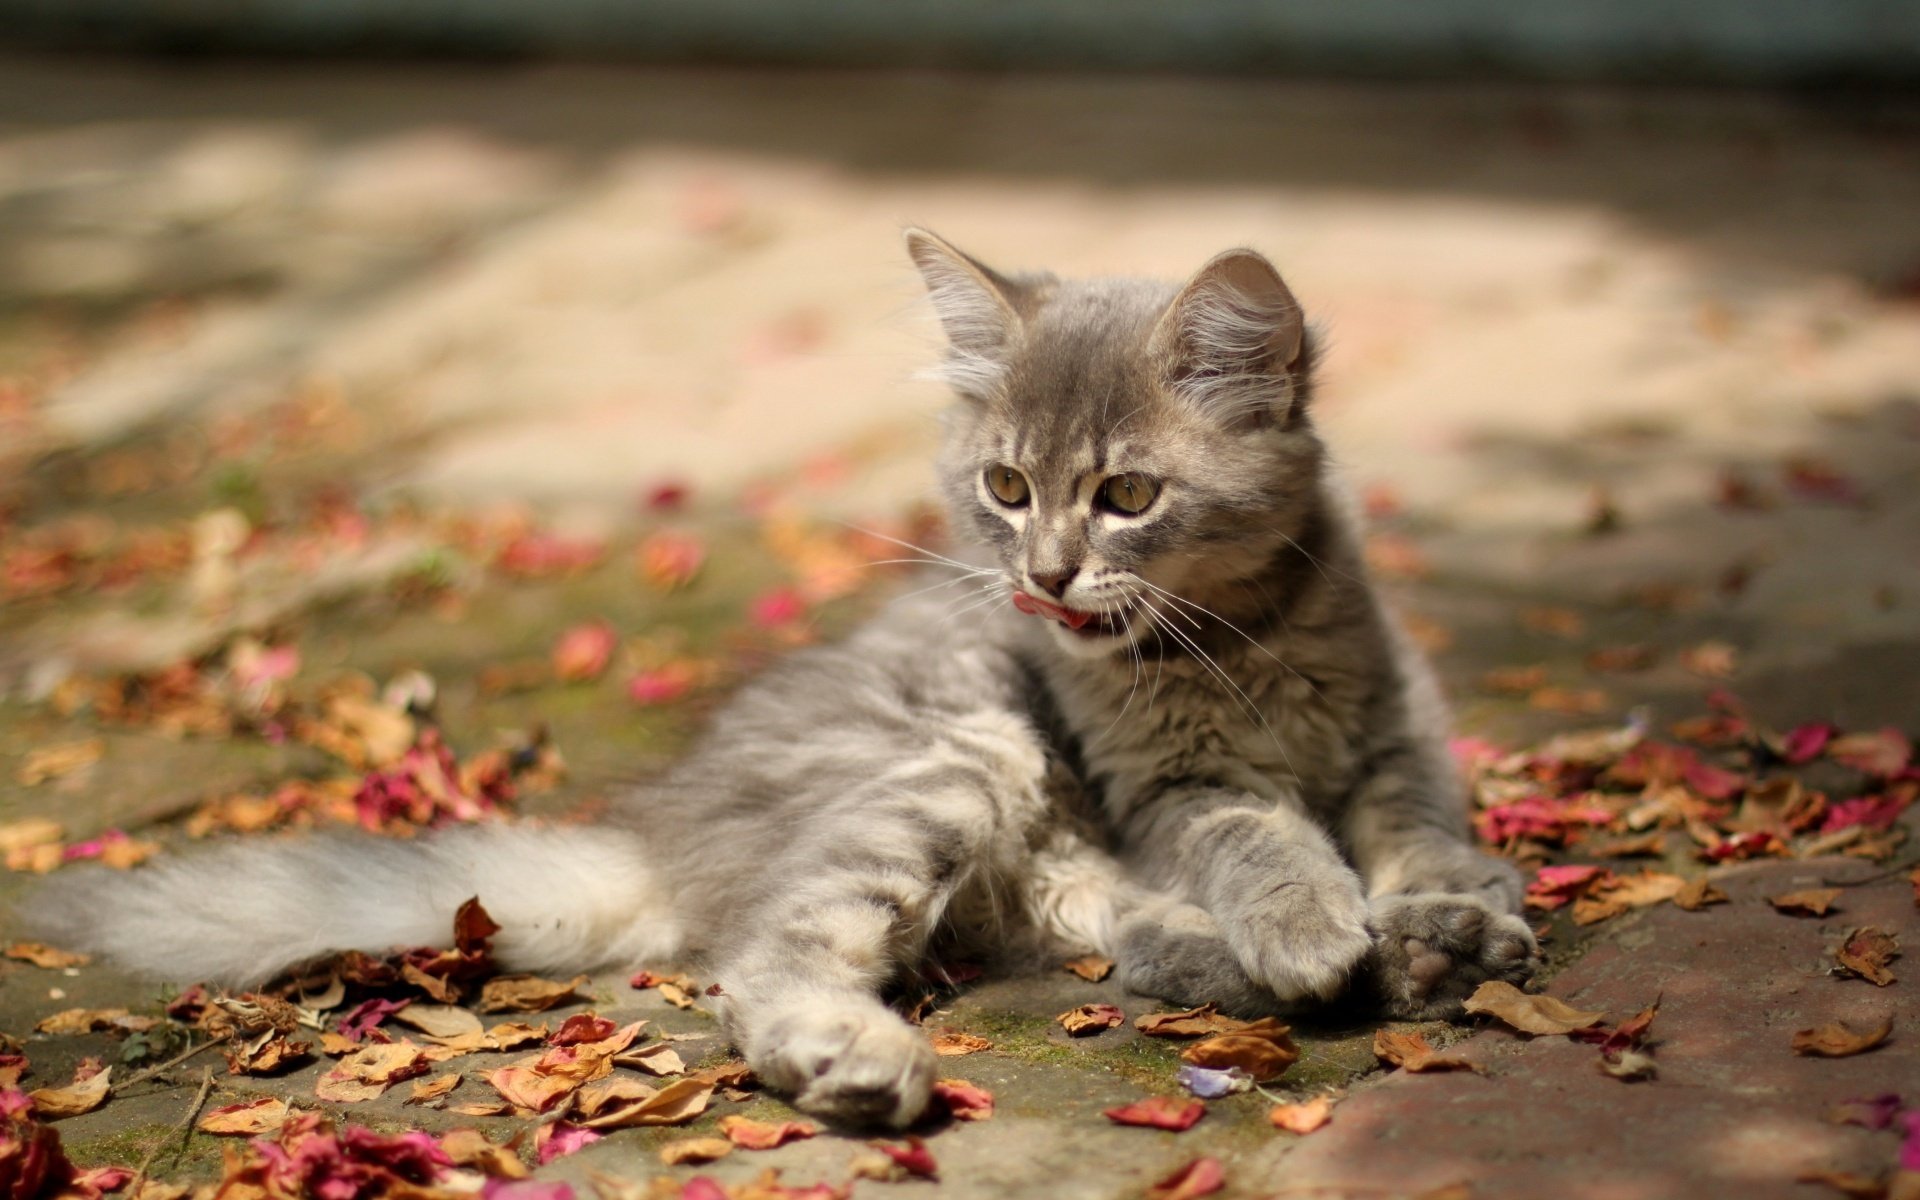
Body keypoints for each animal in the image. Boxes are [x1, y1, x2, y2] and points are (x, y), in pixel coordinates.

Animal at [26, 234, 1528, 1128]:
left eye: (1126, 496)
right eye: (1007, 487)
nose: (1042, 576)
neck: (1247, 641)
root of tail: (661, 835)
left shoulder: (1398, 736)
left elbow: (1418, 834)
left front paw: (1449, 908)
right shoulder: (1170, 787)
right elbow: (1262, 838)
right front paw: (1316, 920)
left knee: (1136, 940)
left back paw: (1417, 961)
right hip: (960, 768)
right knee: (768, 957)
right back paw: (852, 1056)